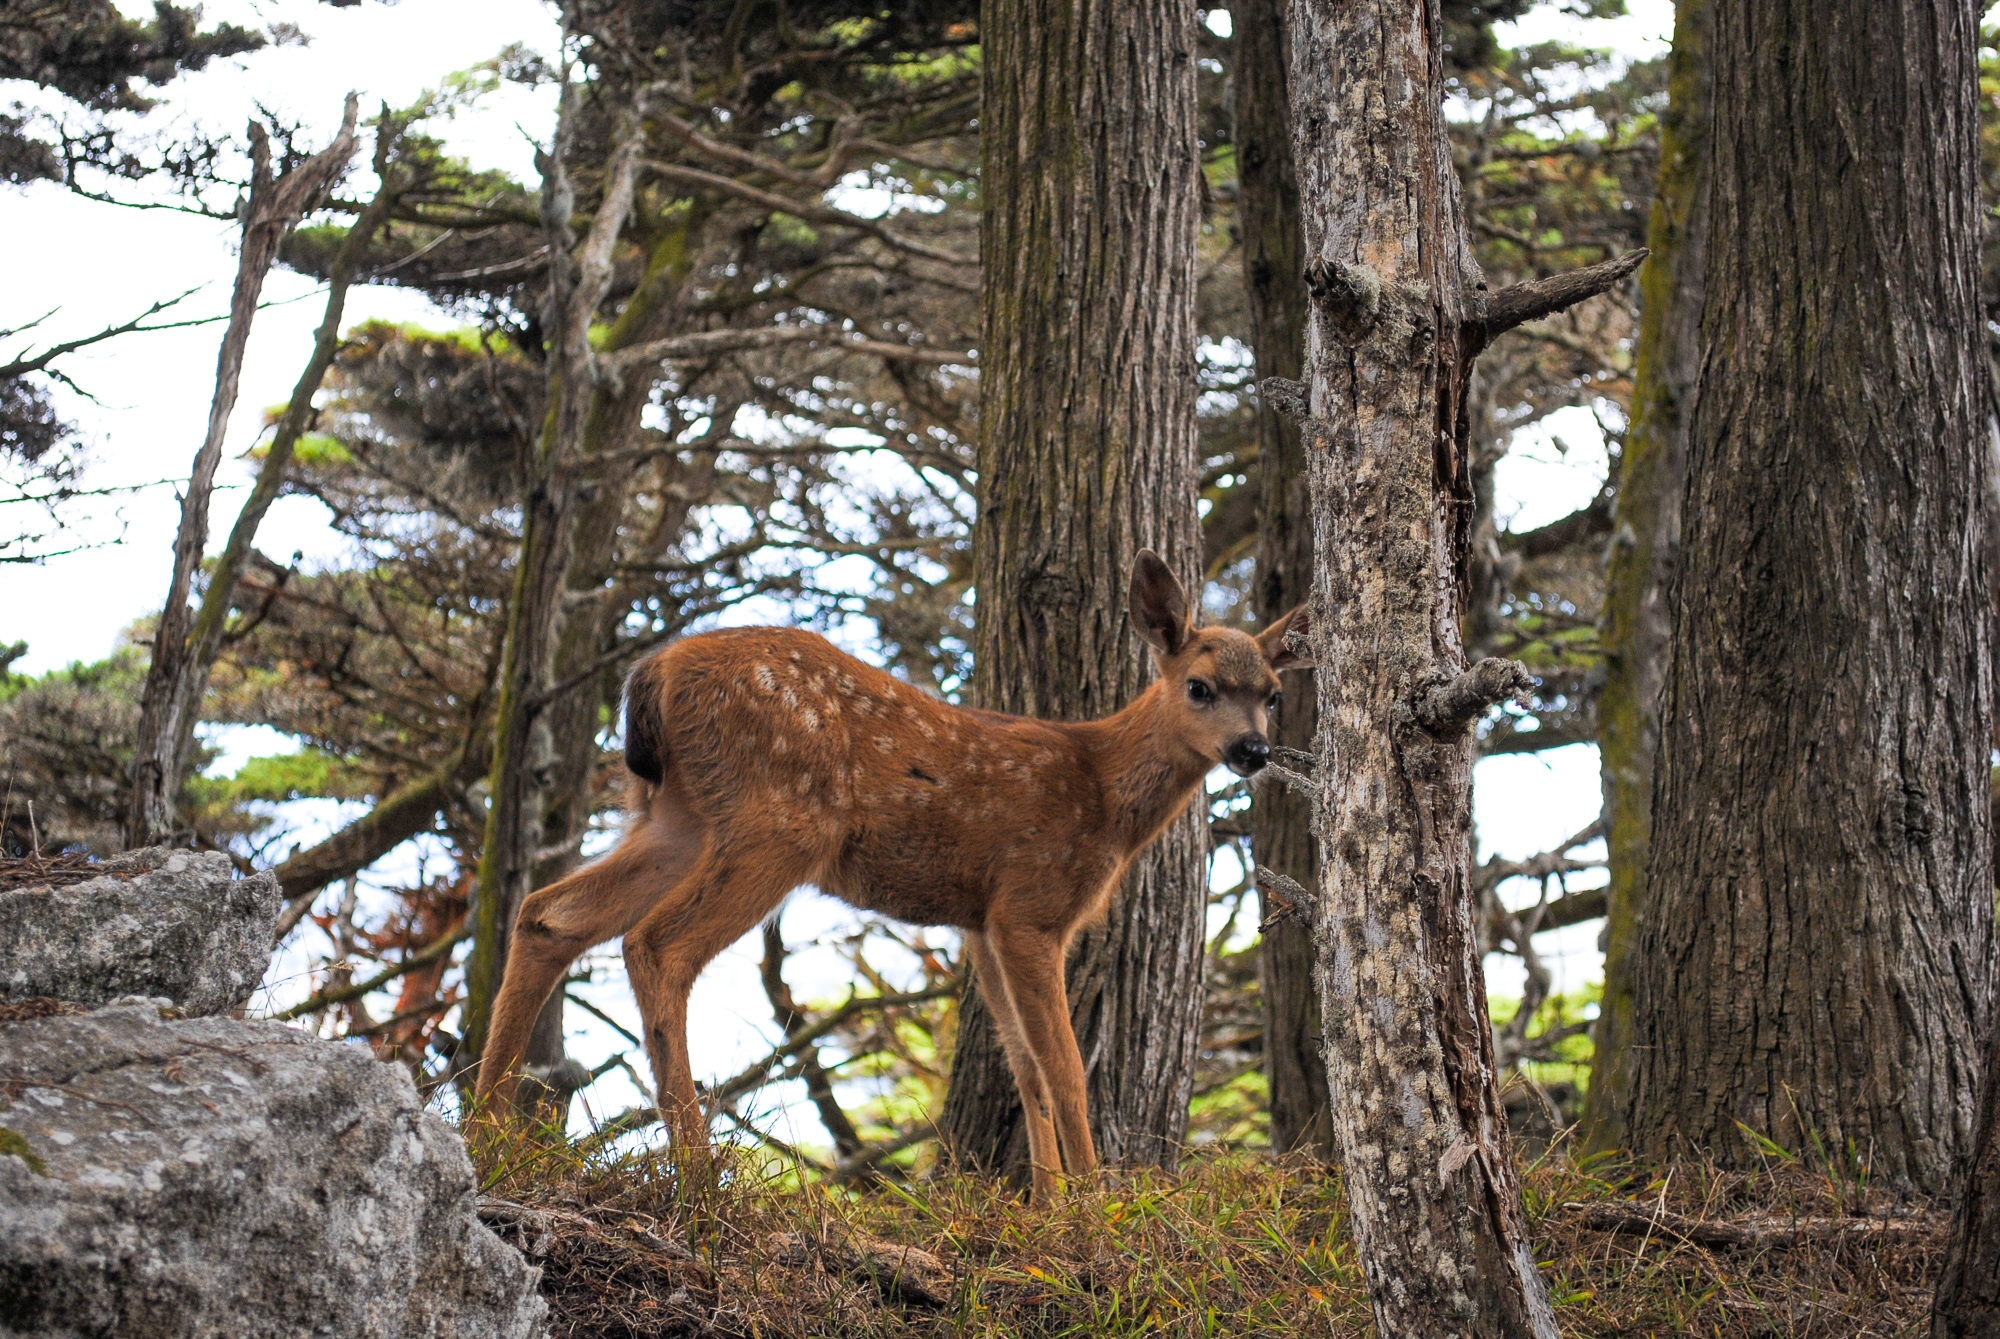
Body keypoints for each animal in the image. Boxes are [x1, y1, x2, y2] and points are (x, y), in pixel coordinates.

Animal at [468, 551, 1312, 1199]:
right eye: (1200, 685)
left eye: (1272, 694)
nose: (1253, 750)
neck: (1102, 793)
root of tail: (653, 673)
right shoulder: (1030, 903)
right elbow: (1065, 1066)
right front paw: (1098, 1208)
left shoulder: (980, 921)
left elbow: (1026, 1067)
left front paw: (1047, 1207)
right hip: (781, 820)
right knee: (656, 944)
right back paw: (699, 1176)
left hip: (679, 815)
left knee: (549, 912)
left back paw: (485, 1139)